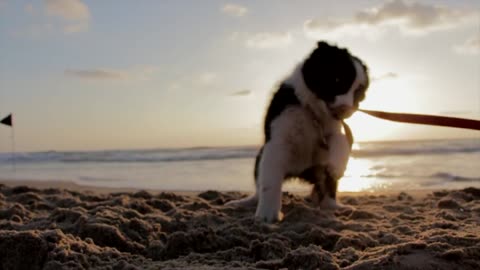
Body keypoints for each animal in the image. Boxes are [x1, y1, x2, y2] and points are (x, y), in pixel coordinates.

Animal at [227, 41, 370, 221]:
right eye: (337, 79)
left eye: (359, 93)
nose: (346, 110)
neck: (311, 111)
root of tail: (299, 173)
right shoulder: (277, 140)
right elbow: (270, 181)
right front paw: (267, 215)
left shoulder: (335, 129)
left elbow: (341, 139)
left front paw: (337, 166)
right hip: (261, 157)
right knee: (259, 186)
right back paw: (244, 202)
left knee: (327, 188)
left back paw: (334, 206)